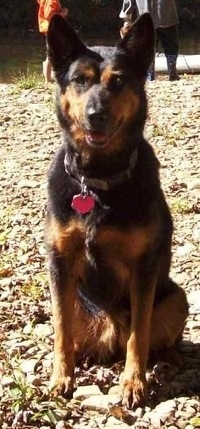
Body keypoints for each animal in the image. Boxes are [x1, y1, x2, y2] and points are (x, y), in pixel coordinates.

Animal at [45, 13, 189, 408]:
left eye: (119, 81)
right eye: (79, 80)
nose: (96, 115)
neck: (97, 182)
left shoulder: (144, 267)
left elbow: (139, 335)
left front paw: (133, 383)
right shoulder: (59, 263)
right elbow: (61, 331)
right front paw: (61, 377)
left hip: (176, 297)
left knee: (151, 338)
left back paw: (169, 360)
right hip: (77, 301)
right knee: (74, 333)